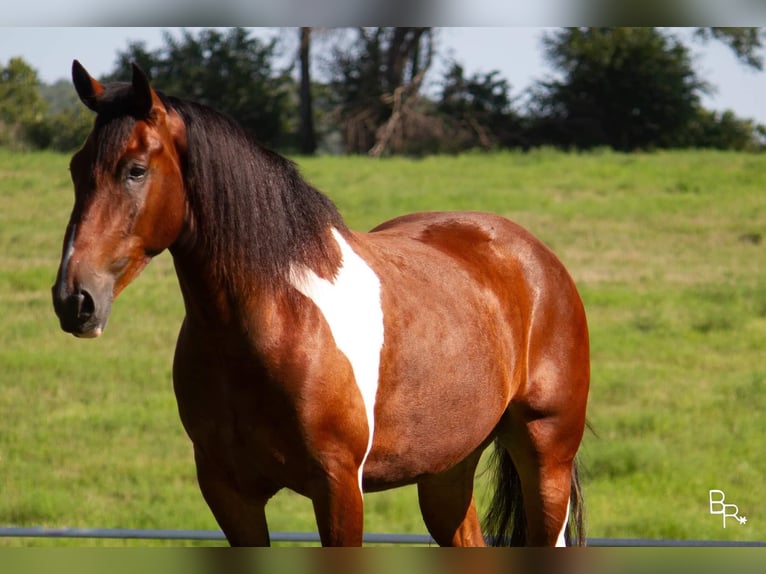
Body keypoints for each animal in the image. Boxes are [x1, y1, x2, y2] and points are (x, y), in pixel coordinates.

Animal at [52, 62, 592, 548]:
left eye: (135, 170)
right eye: (76, 169)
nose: (74, 300)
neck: (277, 320)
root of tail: (538, 259)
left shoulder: (338, 488)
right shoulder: (229, 493)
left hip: (546, 460)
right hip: (447, 470)